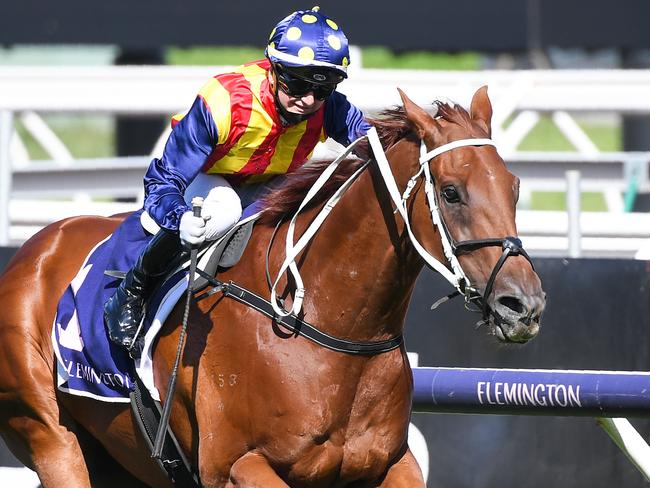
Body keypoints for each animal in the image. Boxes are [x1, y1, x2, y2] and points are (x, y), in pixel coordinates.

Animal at [0, 86, 540, 486]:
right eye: (451, 192)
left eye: (513, 187)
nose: (523, 304)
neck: (326, 324)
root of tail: (34, 249)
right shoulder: (237, 466)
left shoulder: (390, 464)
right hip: (52, 437)